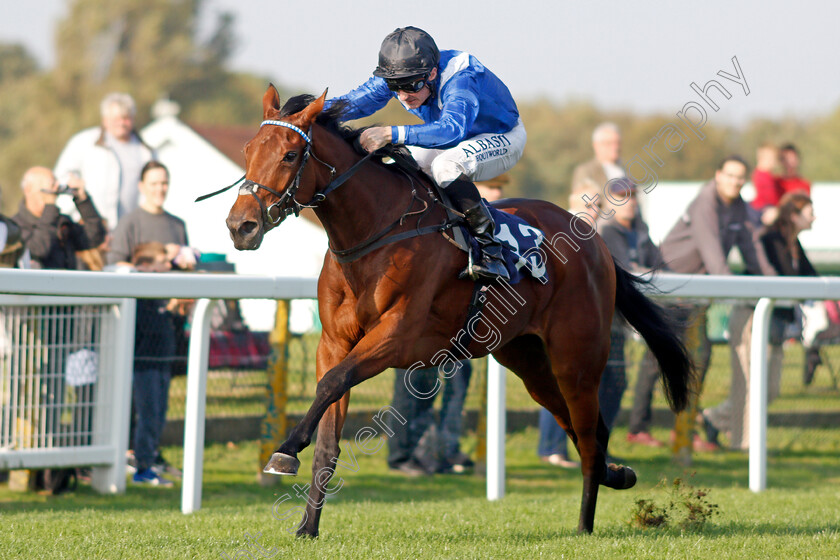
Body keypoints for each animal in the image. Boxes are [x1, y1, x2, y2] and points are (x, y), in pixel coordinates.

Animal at [223, 85, 688, 536]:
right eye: (248, 150)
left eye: (289, 154)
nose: (240, 226)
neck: (376, 231)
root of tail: (597, 243)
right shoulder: (335, 342)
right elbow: (328, 430)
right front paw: (307, 527)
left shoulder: (396, 337)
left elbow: (330, 384)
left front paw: (284, 451)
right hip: (527, 359)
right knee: (579, 426)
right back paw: (617, 474)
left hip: (577, 358)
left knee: (589, 435)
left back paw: (585, 524)